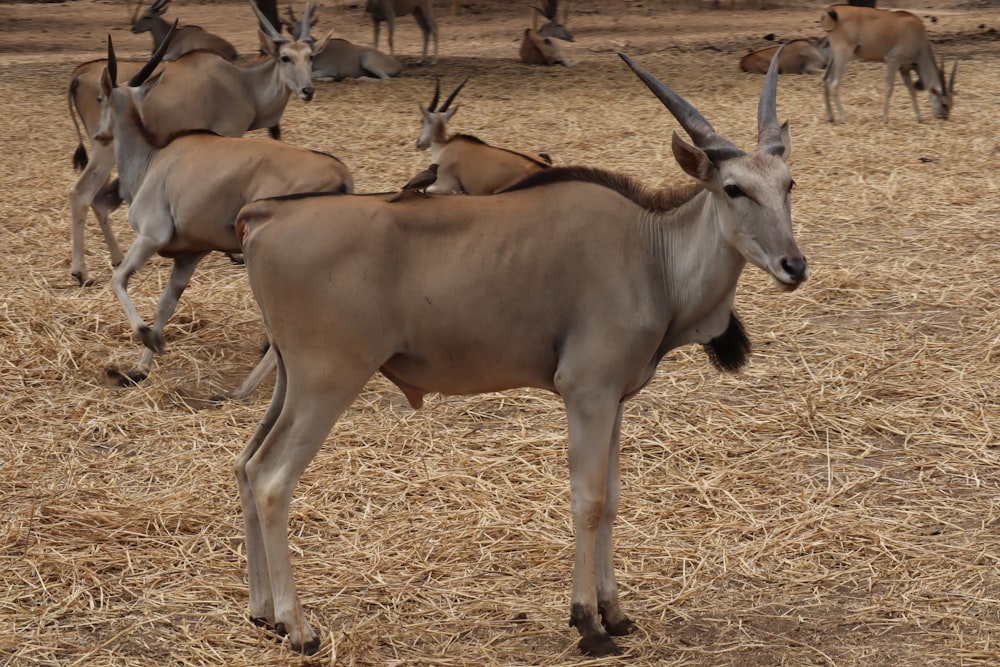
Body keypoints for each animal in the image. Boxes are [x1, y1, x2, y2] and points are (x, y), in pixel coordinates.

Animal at [65, 0, 324, 288]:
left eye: (310, 56)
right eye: (285, 57)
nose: (307, 90)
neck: (242, 82)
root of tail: (79, 74)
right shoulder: (226, 135)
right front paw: (234, 253)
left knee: (97, 199)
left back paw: (117, 257)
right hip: (105, 148)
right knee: (81, 194)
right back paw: (82, 272)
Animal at [94, 30, 352, 386]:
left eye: (100, 99)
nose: (98, 134)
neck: (152, 158)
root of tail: (340, 174)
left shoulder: (150, 237)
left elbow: (118, 278)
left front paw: (148, 338)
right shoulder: (189, 256)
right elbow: (165, 305)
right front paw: (139, 368)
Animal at [824, 3, 956, 123]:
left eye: (951, 104)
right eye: (944, 104)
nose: (944, 118)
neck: (918, 38)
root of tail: (831, 9)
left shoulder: (904, 68)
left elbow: (912, 91)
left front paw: (920, 118)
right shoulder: (893, 61)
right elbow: (889, 89)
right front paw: (885, 119)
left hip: (834, 56)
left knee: (826, 79)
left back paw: (831, 117)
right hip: (843, 53)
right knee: (834, 84)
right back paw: (843, 118)